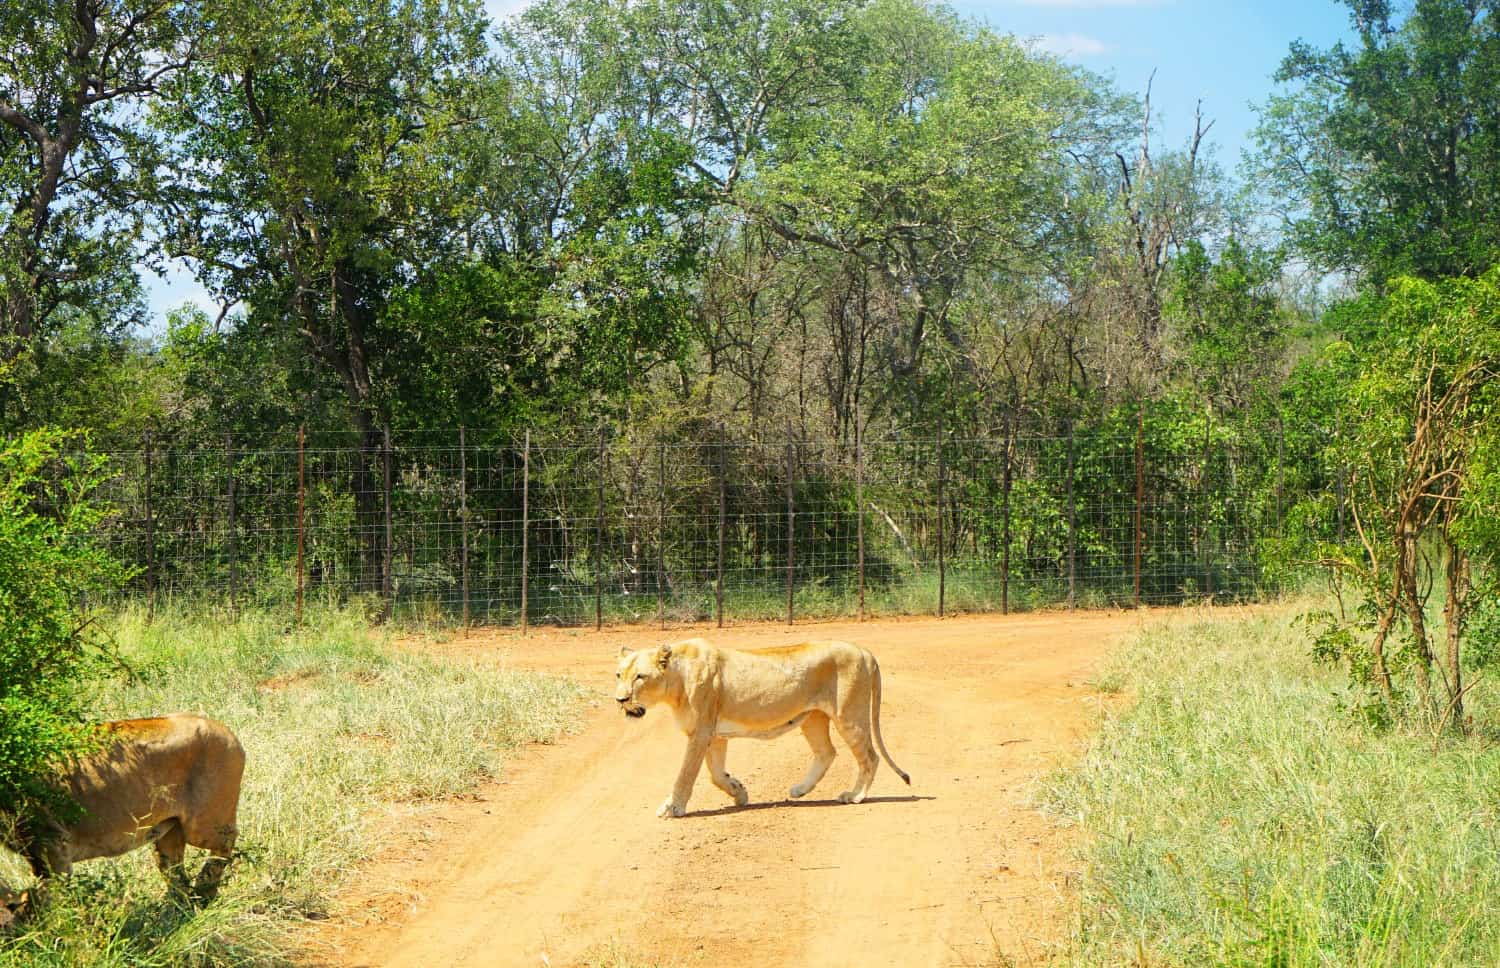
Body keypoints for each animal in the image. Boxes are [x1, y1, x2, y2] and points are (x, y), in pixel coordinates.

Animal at [3, 708, 243, 906]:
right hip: (170, 830)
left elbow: (52, 902)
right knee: (175, 872)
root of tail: (223, 728)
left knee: (226, 842)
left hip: (204, 824)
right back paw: (180, 908)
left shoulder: (52, 843)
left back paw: (205, 887)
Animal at [615, 639, 906, 816]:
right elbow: (716, 774)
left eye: (640, 677)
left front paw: (672, 808)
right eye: (619, 674)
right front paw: (739, 792)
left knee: (869, 756)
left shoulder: (701, 732)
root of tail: (865, 652)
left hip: (849, 716)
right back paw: (800, 790)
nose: (620, 700)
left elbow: (685, 774)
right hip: (813, 717)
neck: (676, 678)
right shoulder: (715, 735)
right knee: (827, 752)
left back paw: (855, 795)